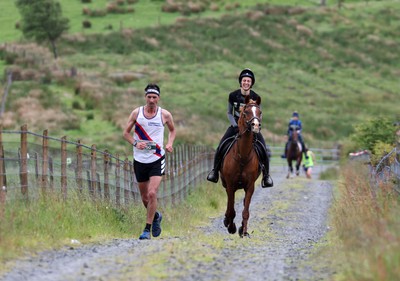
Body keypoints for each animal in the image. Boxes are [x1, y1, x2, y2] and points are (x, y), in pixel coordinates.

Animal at [220, 94, 264, 236]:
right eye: (246, 112)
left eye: (260, 112)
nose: (256, 126)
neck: (243, 156)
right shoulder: (230, 185)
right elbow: (231, 209)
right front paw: (231, 226)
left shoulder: (250, 186)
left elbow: (245, 210)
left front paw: (243, 231)